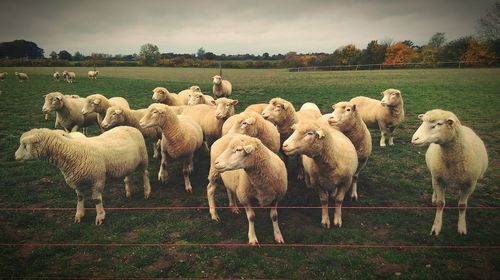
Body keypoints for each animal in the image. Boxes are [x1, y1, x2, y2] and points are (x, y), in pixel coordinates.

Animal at [15, 127, 152, 225]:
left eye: (25, 145)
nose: (15, 156)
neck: (74, 151)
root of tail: (131, 127)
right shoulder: (78, 182)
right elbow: (80, 198)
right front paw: (79, 215)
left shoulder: (97, 179)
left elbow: (96, 200)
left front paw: (100, 217)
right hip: (128, 164)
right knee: (129, 176)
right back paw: (129, 192)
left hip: (144, 158)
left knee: (145, 174)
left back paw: (146, 191)